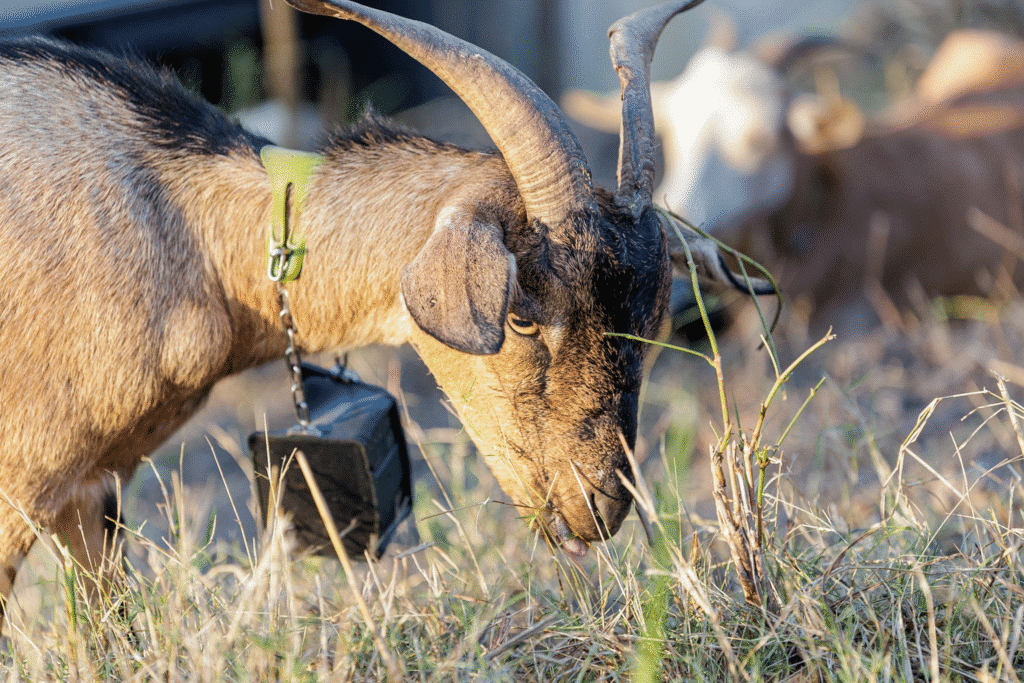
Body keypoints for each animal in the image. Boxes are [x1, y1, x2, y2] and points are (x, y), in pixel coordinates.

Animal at [0, 0, 753, 630]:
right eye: (522, 318)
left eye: (652, 321)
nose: (599, 507)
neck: (184, 228)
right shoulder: (23, 478)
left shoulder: (92, 485)